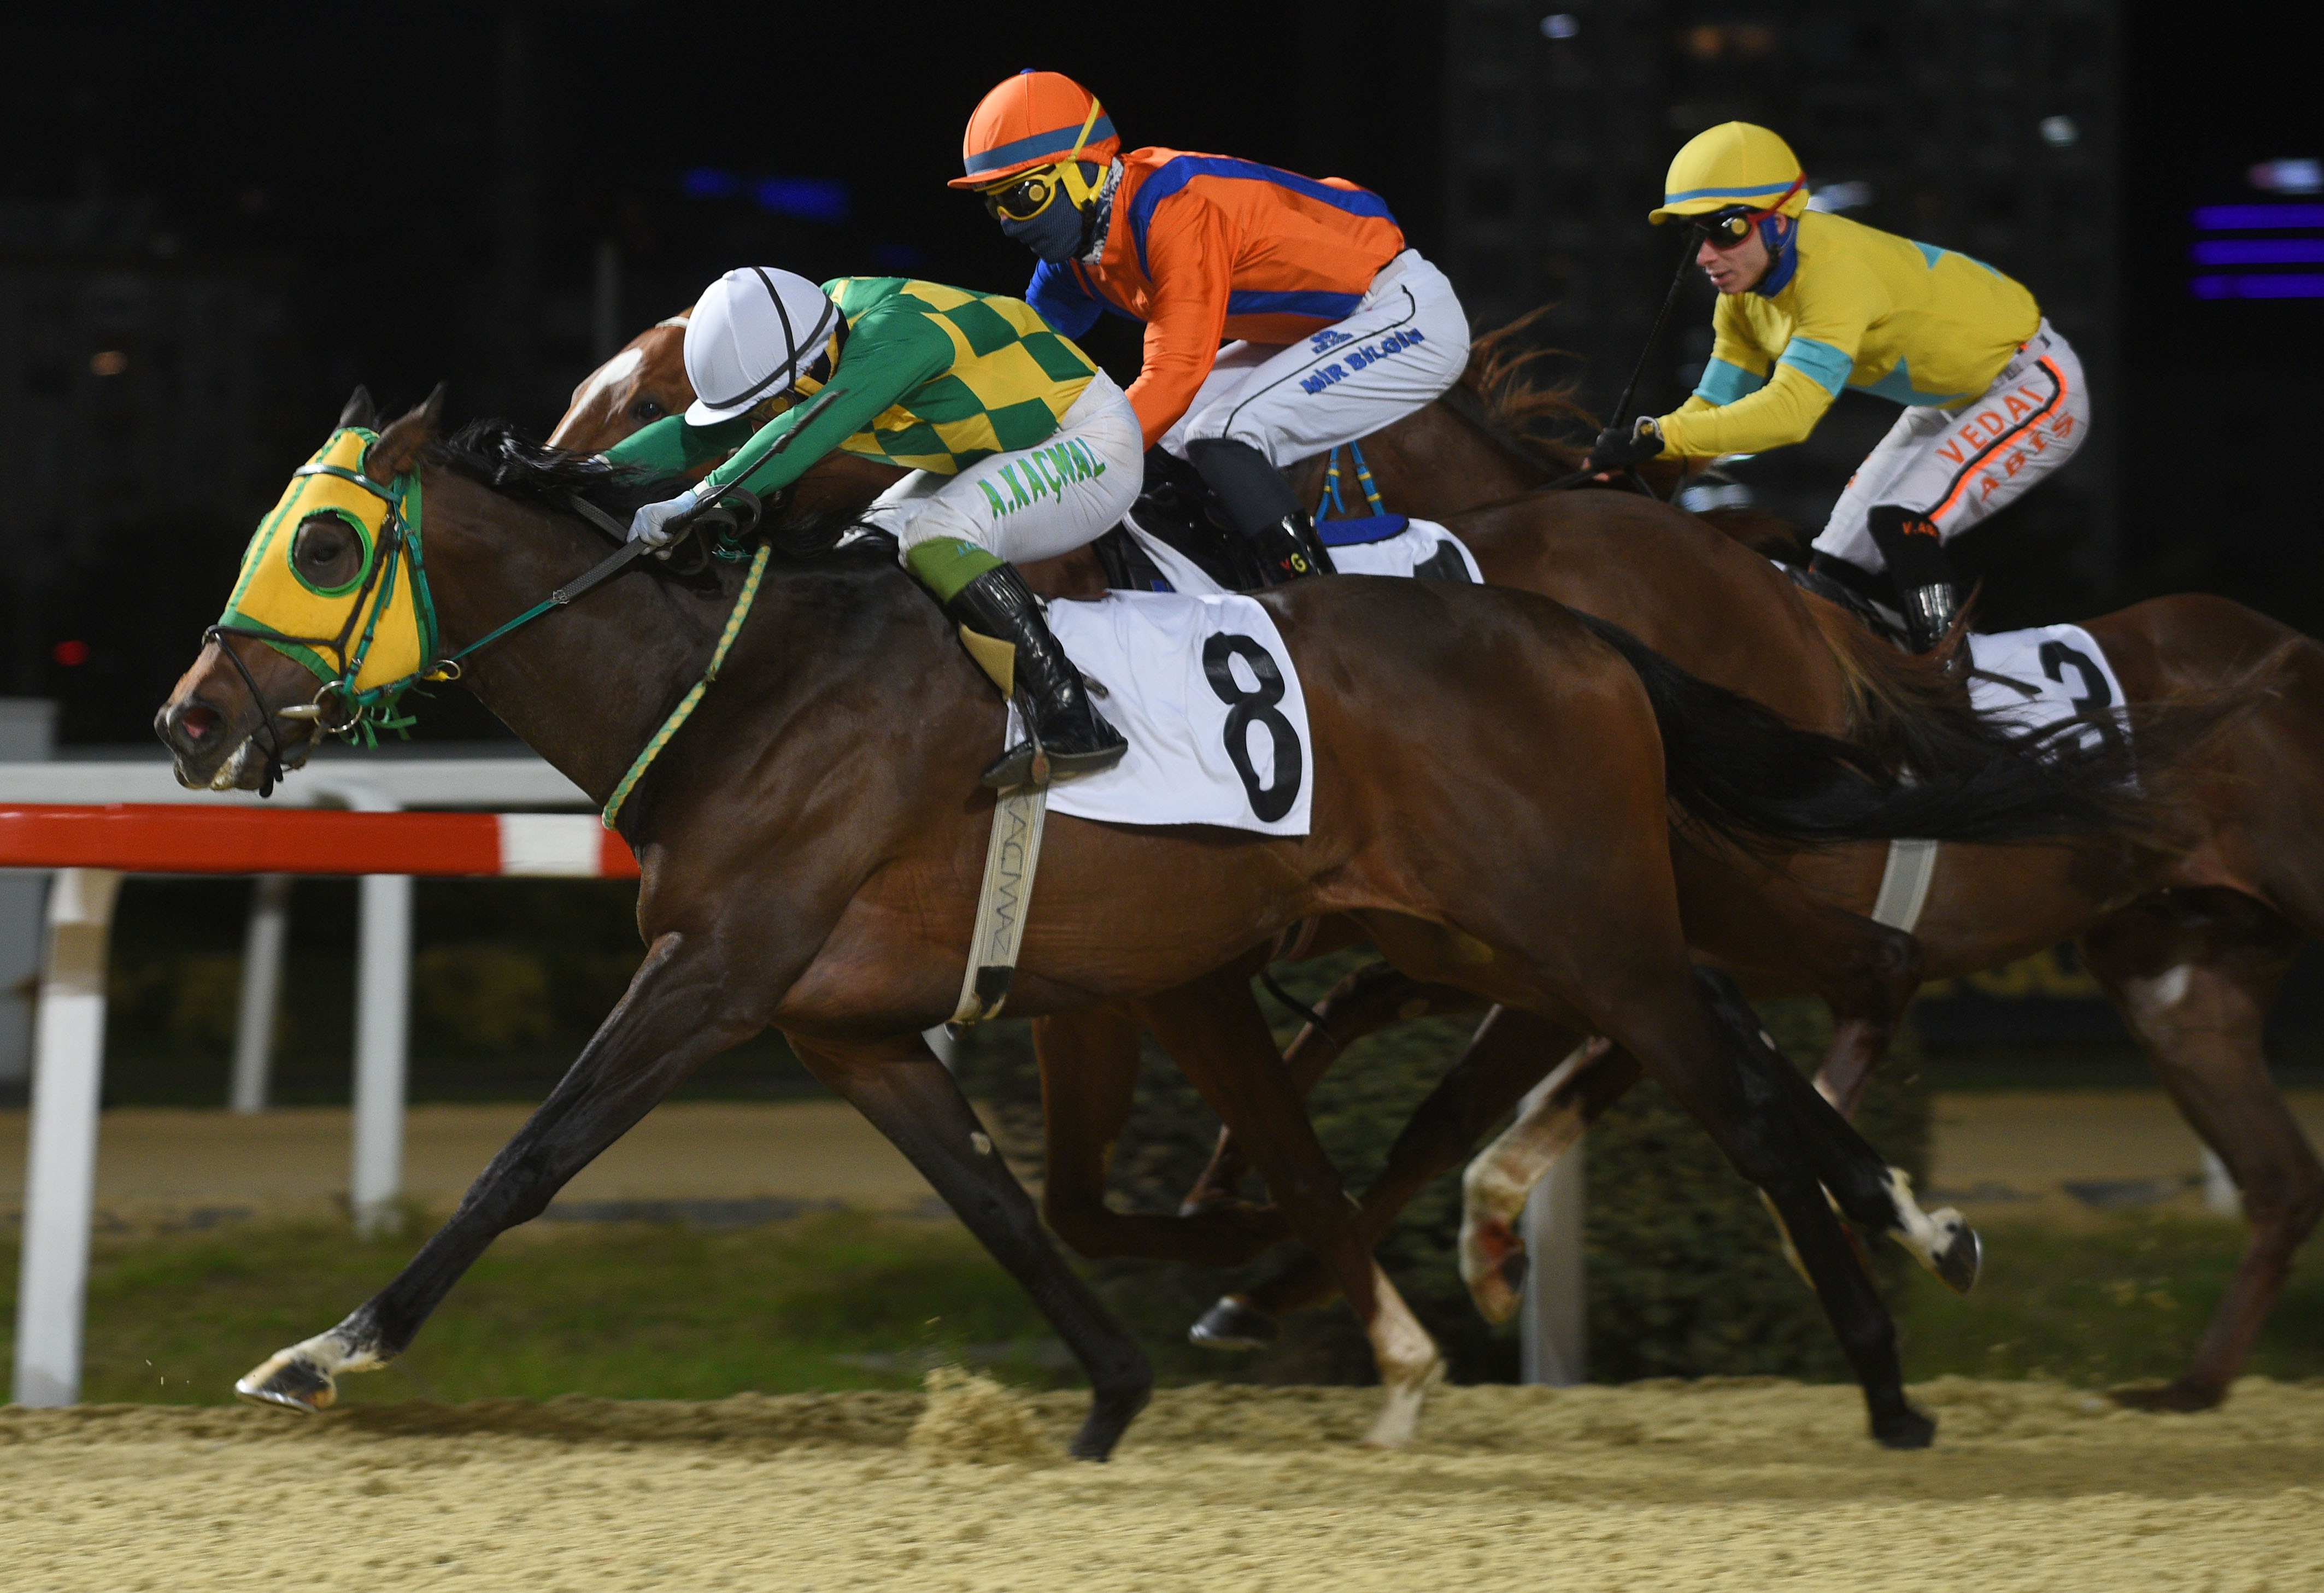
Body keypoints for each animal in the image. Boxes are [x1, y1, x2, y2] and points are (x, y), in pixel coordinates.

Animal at [155, 389, 2159, 1453]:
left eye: (323, 546)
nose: (188, 721)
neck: (743, 685)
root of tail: (1587, 632)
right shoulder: (849, 1023)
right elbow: (1003, 1205)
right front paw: (1114, 1392)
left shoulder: (718, 974)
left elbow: (533, 1157)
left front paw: (322, 1351)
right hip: (1510, 931)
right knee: (1727, 1061)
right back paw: (1896, 1255)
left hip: (1575, 925)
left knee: (1733, 1092)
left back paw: (1890, 1375)